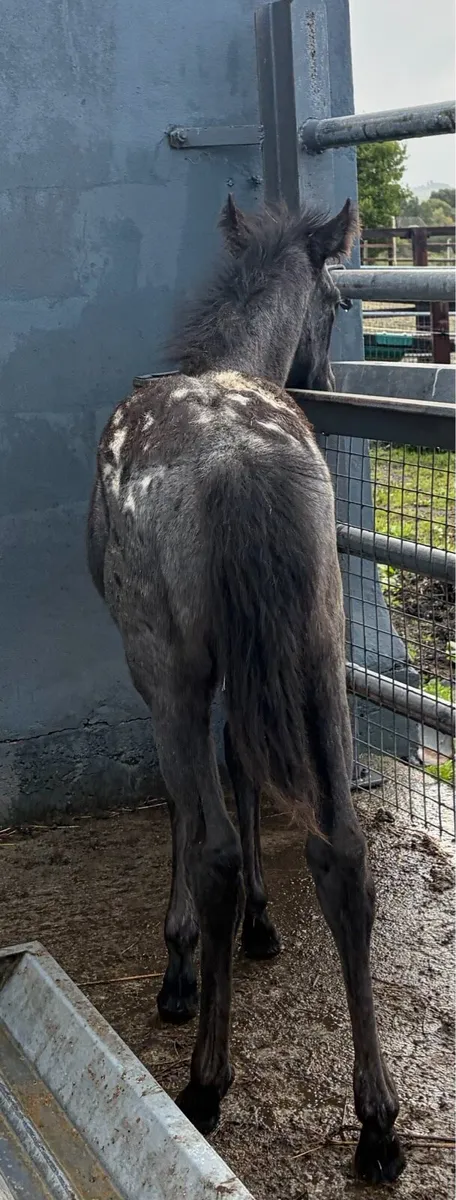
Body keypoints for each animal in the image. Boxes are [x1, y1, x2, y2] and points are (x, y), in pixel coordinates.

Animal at [87, 195, 405, 1184]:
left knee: (216, 843)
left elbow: (190, 810)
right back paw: (379, 1126)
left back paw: (205, 1082)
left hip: (172, 664)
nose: (328, 375)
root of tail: (234, 460)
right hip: (319, 656)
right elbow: (247, 771)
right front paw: (265, 927)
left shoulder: (161, 670)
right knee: (343, 852)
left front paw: (184, 962)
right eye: (339, 301)